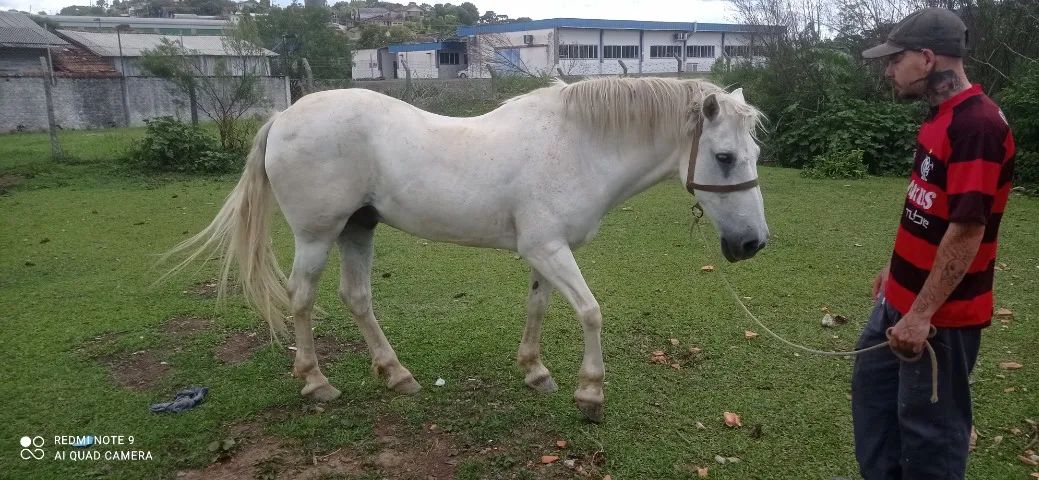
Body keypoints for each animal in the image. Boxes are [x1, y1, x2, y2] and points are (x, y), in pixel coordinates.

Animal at [162, 76, 768, 422]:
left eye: (754, 153)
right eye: (724, 157)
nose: (752, 243)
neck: (577, 144)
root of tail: (285, 117)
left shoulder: (543, 252)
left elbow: (539, 306)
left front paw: (535, 372)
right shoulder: (549, 248)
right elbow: (591, 312)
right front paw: (590, 394)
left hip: (359, 228)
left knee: (356, 297)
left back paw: (396, 374)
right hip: (317, 235)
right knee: (302, 298)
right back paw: (316, 383)